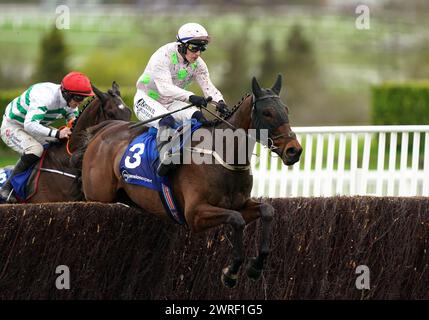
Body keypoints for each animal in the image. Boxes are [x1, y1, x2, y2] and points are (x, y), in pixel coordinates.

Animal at [75, 75, 300, 288]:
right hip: (98, 198)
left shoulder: (240, 204)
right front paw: (231, 273)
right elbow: (236, 220)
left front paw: (255, 267)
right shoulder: (195, 214)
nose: (294, 150)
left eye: (287, 109)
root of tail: (102, 131)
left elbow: (267, 210)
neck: (221, 155)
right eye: (267, 112)